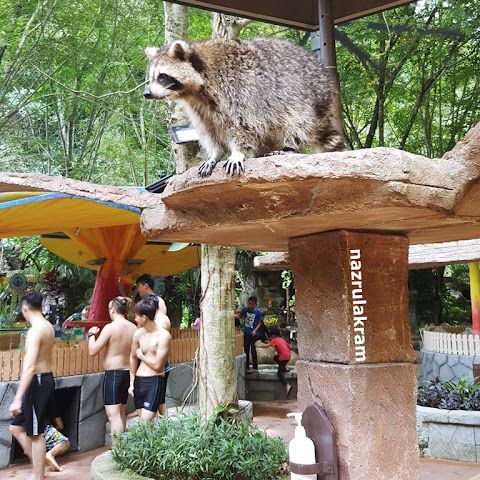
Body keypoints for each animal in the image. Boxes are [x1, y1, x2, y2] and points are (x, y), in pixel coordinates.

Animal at [143, 37, 344, 176]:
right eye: (151, 77)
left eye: (162, 77)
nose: (146, 93)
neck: (195, 91)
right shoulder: (200, 109)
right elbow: (210, 132)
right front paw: (215, 154)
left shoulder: (238, 91)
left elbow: (243, 125)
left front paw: (237, 152)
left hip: (305, 98)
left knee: (297, 122)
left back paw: (289, 146)